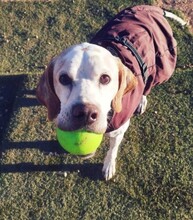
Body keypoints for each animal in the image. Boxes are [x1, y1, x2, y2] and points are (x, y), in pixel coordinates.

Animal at [35, 5, 185, 180]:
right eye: (63, 79)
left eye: (105, 78)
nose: (85, 113)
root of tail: (152, 8)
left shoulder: (119, 130)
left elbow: (113, 149)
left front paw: (109, 165)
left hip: (159, 67)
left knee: (148, 85)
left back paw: (142, 100)